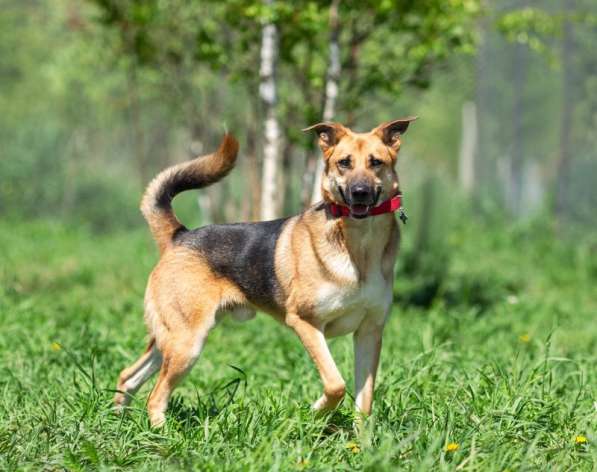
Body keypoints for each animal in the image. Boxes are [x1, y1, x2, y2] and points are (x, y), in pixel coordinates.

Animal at [115, 116, 414, 426]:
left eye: (376, 162)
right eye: (344, 162)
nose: (360, 193)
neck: (359, 248)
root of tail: (178, 235)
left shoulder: (369, 333)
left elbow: (364, 404)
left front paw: (362, 439)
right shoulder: (304, 322)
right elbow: (335, 385)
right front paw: (315, 411)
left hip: (171, 339)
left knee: (128, 377)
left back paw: (119, 422)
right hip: (187, 343)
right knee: (155, 397)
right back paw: (161, 435)